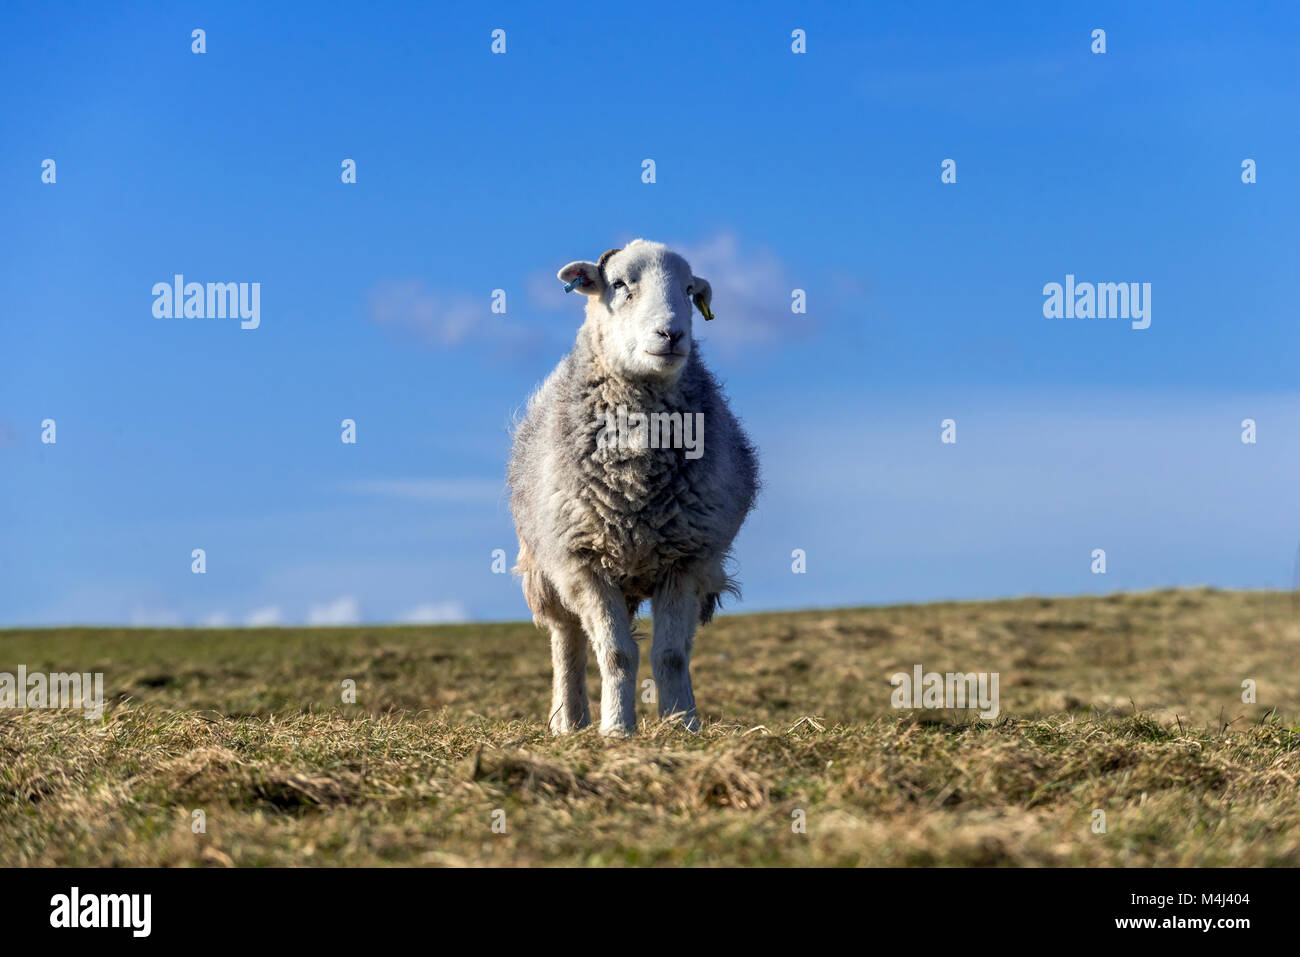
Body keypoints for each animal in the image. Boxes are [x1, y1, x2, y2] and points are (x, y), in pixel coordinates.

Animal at [501, 243, 759, 738]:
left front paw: (682, 725)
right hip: (547, 569)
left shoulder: (687, 559)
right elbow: (617, 654)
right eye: (619, 284)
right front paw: (617, 729)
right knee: (567, 642)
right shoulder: (584, 562)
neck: (635, 482)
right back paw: (569, 722)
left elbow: (671, 655)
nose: (672, 333)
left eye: (689, 290)